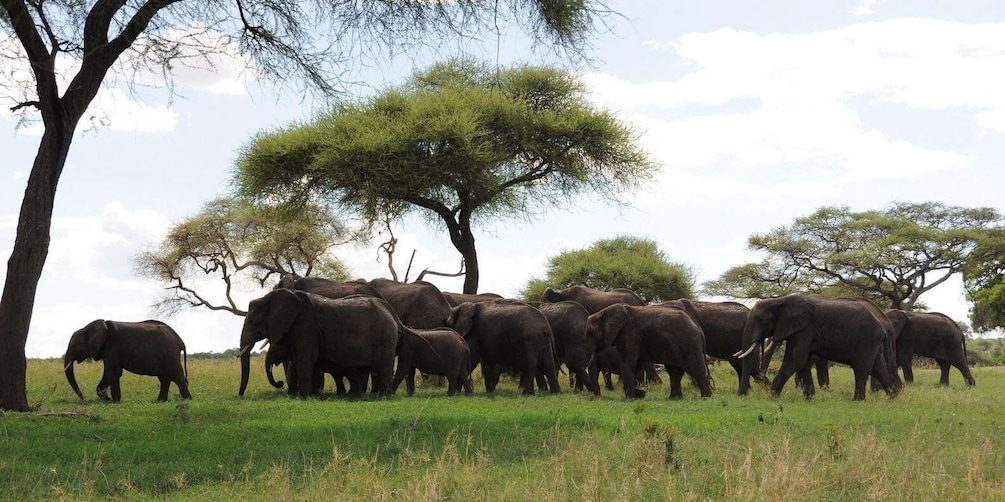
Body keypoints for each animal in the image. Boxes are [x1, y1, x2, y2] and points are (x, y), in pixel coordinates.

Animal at [63, 319, 191, 401]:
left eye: (74, 346)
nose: (83, 398)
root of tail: (181, 341)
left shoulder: (112, 346)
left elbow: (112, 372)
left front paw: (114, 401)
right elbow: (110, 373)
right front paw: (107, 399)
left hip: (169, 353)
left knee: (177, 376)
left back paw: (187, 399)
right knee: (164, 378)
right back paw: (160, 400)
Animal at [239, 289, 404, 397]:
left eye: (253, 321)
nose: (240, 396)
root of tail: (393, 315)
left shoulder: (306, 325)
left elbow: (305, 359)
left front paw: (303, 398)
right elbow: (299, 361)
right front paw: (308, 396)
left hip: (385, 337)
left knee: (385, 368)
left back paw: (384, 397)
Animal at [735, 293, 900, 399]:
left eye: (761, 320)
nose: (740, 395)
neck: (780, 300)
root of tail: (883, 326)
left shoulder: (805, 329)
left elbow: (795, 360)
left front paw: (773, 396)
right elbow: (803, 362)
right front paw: (810, 398)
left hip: (867, 338)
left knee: (861, 368)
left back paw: (858, 400)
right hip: (871, 340)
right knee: (877, 367)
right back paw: (892, 397)